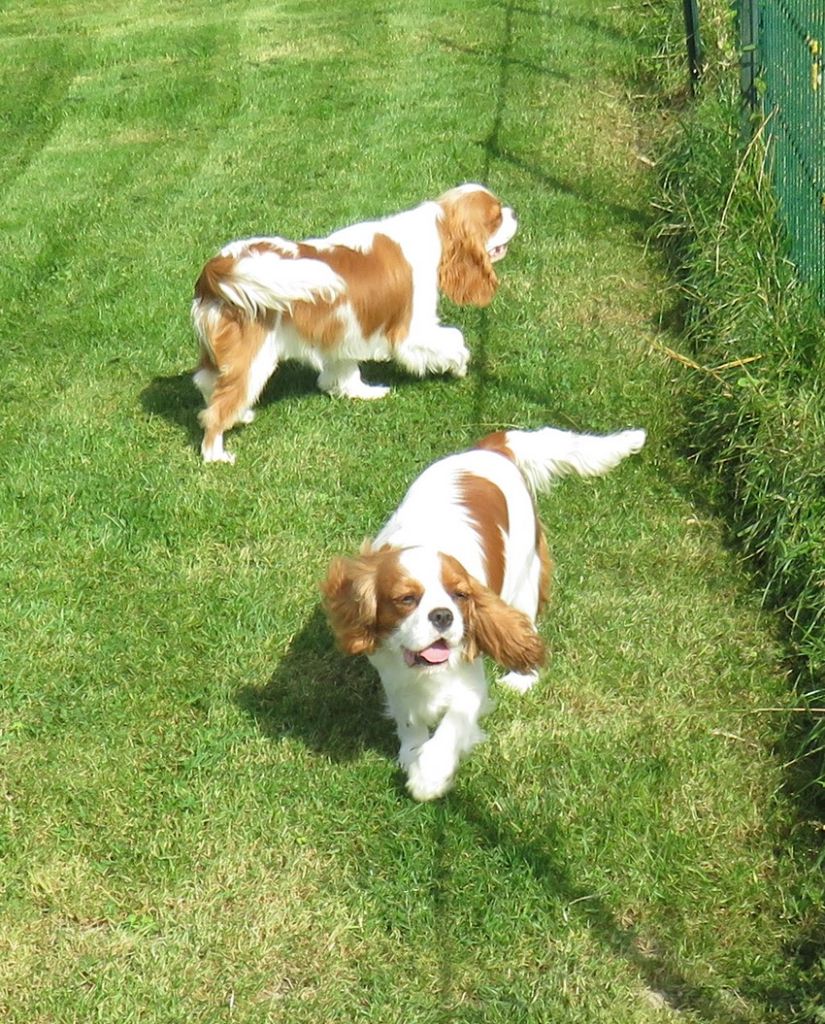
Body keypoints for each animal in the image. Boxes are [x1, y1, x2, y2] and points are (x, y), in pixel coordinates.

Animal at [191, 184, 517, 462]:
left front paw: (356, 391)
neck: (435, 230)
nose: (515, 213)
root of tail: (217, 269)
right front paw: (459, 367)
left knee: (207, 382)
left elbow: (345, 369)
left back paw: (240, 415)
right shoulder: (412, 332)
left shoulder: (343, 331)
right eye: (496, 217)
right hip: (254, 358)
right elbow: (455, 340)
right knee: (216, 411)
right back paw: (216, 454)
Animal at [322, 424, 646, 800]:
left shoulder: (468, 679)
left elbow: (453, 724)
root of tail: (492, 448)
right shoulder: (393, 672)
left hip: (525, 577)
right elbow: (408, 717)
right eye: (406, 599)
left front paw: (429, 774)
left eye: (459, 595)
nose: (443, 616)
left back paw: (522, 678)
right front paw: (412, 753)